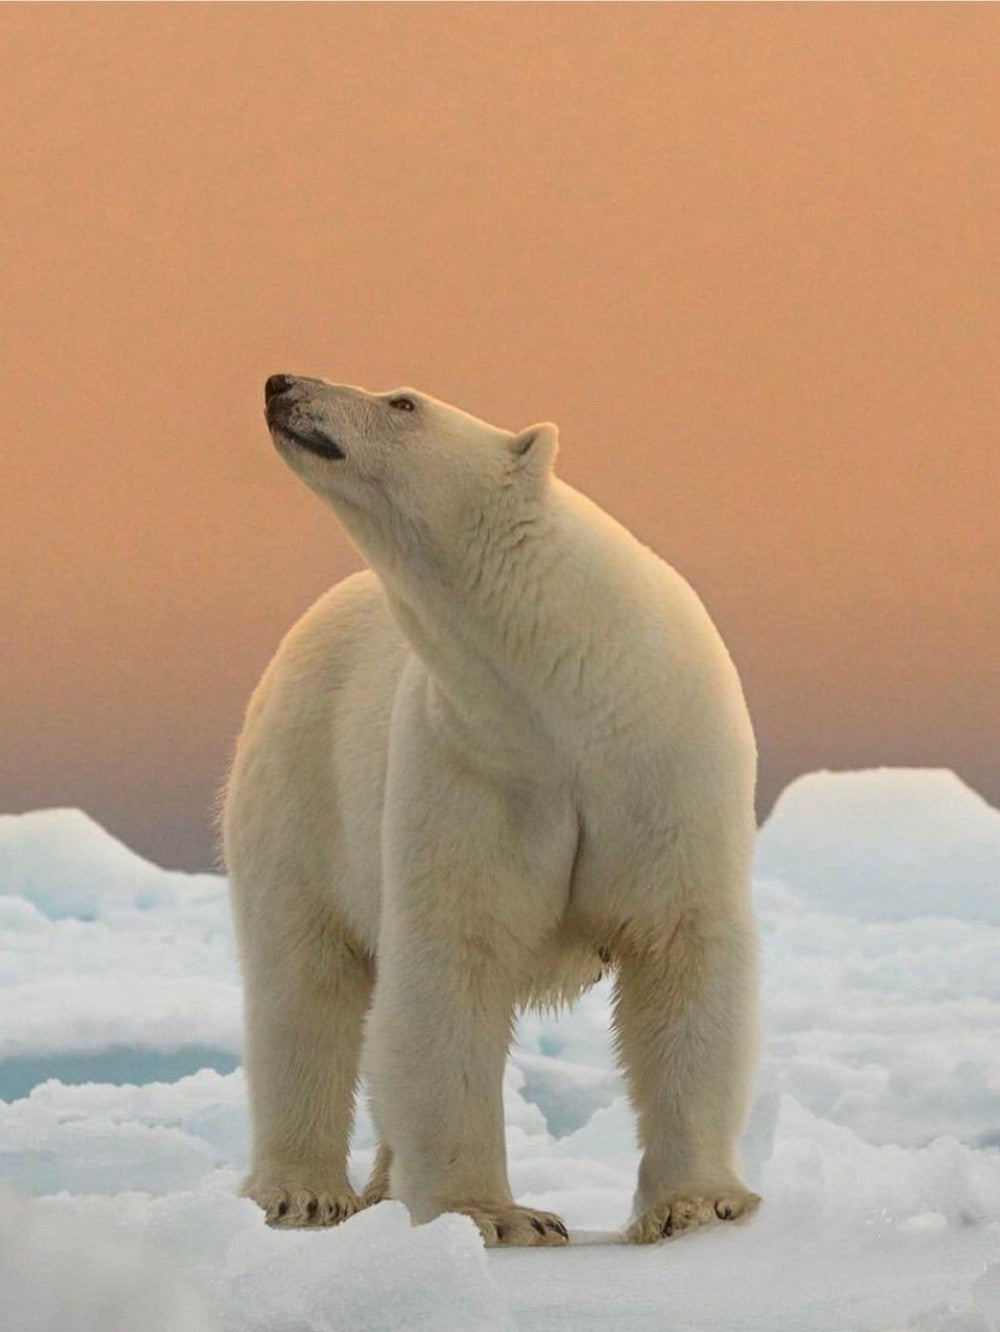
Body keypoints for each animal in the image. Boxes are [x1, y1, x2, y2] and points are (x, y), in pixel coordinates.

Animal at [220, 374, 761, 1247]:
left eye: (402, 401)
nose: (282, 383)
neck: (568, 690)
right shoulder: (473, 764)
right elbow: (452, 964)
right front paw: (501, 1216)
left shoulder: (663, 764)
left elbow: (681, 950)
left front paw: (698, 1204)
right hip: (301, 790)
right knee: (303, 989)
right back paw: (304, 1192)